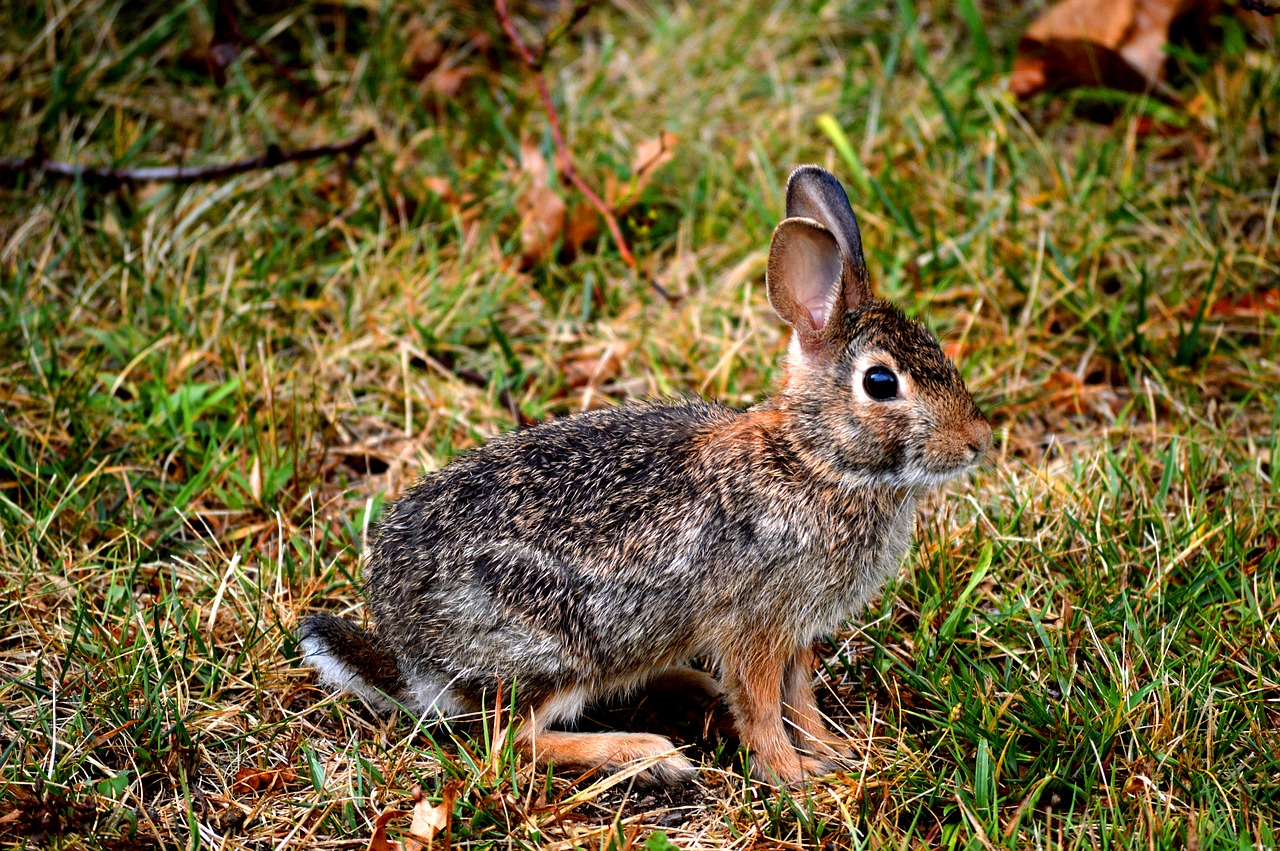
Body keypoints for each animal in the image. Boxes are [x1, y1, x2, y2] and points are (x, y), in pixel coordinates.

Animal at [296, 163, 988, 783]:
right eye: (881, 383)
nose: (978, 443)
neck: (813, 459)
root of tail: (410, 653)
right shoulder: (756, 625)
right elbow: (765, 707)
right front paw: (794, 776)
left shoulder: (794, 632)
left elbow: (801, 700)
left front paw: (831, 754)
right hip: (556, 648)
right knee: (511, 744)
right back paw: (649, 756)